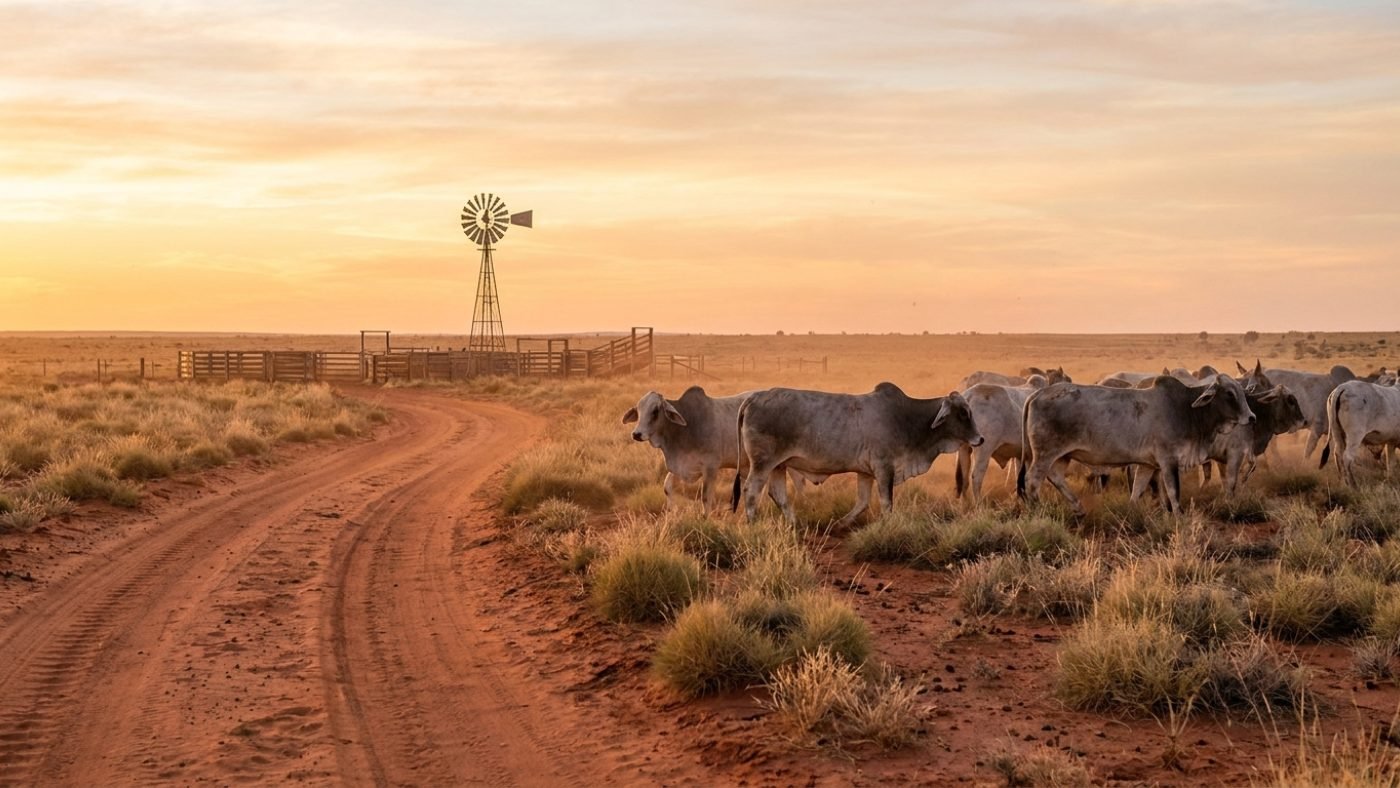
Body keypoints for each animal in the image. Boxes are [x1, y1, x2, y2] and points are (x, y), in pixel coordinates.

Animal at [735, 383, 982, 526]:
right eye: (963, 413)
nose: (980, 439)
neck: (906, 418)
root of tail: (753, 398)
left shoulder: (866, 473)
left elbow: (862, 502)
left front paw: (841, 524)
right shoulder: (884, 469)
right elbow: (886, 503)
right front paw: (888, 525)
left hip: (779, 465)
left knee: (777, 494)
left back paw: (795, 523)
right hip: (762, 463)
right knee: (751, 491)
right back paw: (753, 523)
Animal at [1018, 375, 1255, 514]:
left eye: (1242, 392)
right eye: (1229, 393)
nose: (1251, 417)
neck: (1186, 409)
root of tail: (1036, 394)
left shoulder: (1148, 465)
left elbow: (1138, 489)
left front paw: (1131, 512)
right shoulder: (1168, 461)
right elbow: (1173, 492)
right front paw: (1179, 516)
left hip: (1061, 456)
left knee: (1056, 477)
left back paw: (1078, 507)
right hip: (1045, 453)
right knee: (1032, 480)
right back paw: (1037, 509)